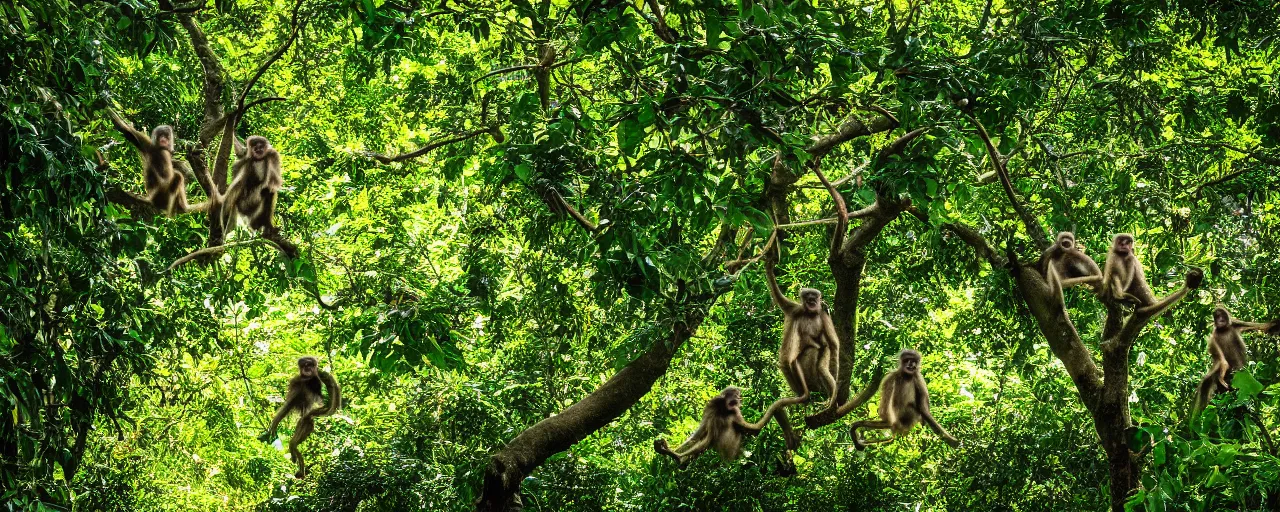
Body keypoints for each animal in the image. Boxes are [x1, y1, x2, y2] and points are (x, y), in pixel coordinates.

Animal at [660, 386, 798, 471]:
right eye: (736, 395)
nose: (739, 399)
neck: (723, 409)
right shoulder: (712, 407)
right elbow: (701, 435)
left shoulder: (734, 412)